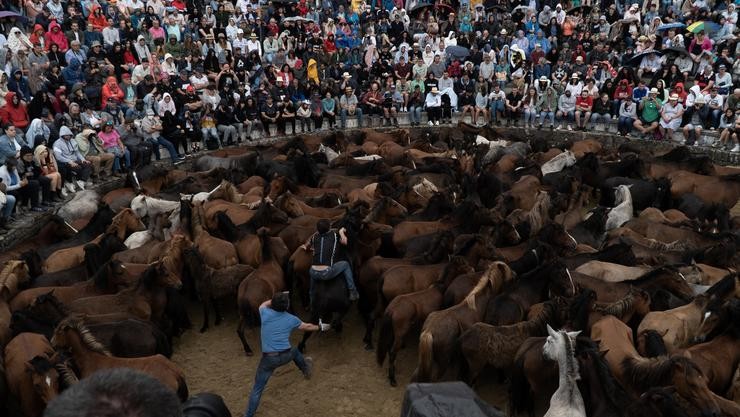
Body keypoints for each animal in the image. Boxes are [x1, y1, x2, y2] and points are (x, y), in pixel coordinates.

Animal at [376, 255, 474, 386]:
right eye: (463, 264)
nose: (472, 269)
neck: (440, 288)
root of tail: (392, 309)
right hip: (400, 333)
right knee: (392, 353)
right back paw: (392, 379)